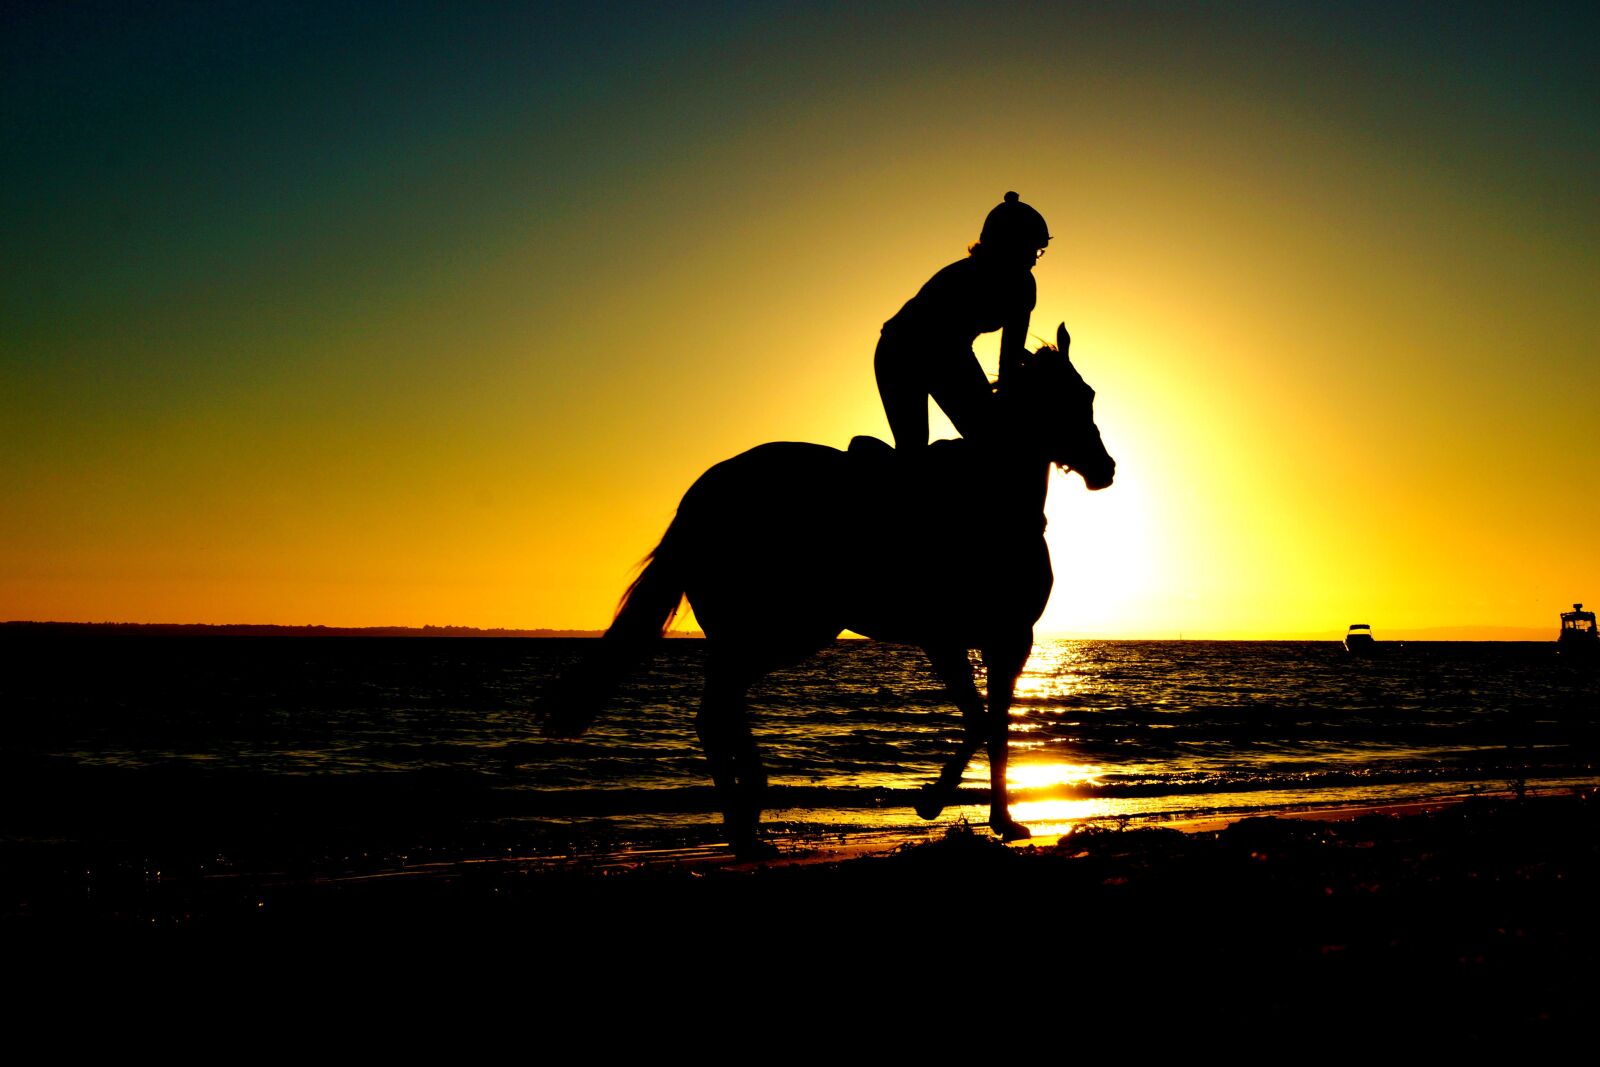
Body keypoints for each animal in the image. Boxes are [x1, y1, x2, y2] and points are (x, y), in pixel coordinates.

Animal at [542, 323, 1115, 855]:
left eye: (1086, 394)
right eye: (1068, 399)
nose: (1104, 469)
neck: (992, 501)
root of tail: (698, 498)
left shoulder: (1009, 640)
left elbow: (996, 727)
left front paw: (1004, 820)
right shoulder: (950, 638)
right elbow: (979, 721)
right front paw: (932, 801)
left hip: (761, 633)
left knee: (720, 708)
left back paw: (747, 819)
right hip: (780, 630)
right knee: (715, 711)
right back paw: (745, 822)